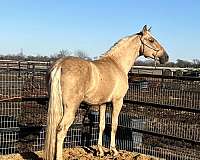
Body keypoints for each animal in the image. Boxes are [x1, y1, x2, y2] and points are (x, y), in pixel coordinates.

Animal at [44, 25, 169, 160]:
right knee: (61, 130)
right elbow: (114, 125)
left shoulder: (103, 103)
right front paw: (113, 151)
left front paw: (100, 151)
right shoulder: (117, 101)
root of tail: (60, 65)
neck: (117, 64)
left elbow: (102, 125)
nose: (166, 57)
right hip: (70, 108)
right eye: (151, 40)